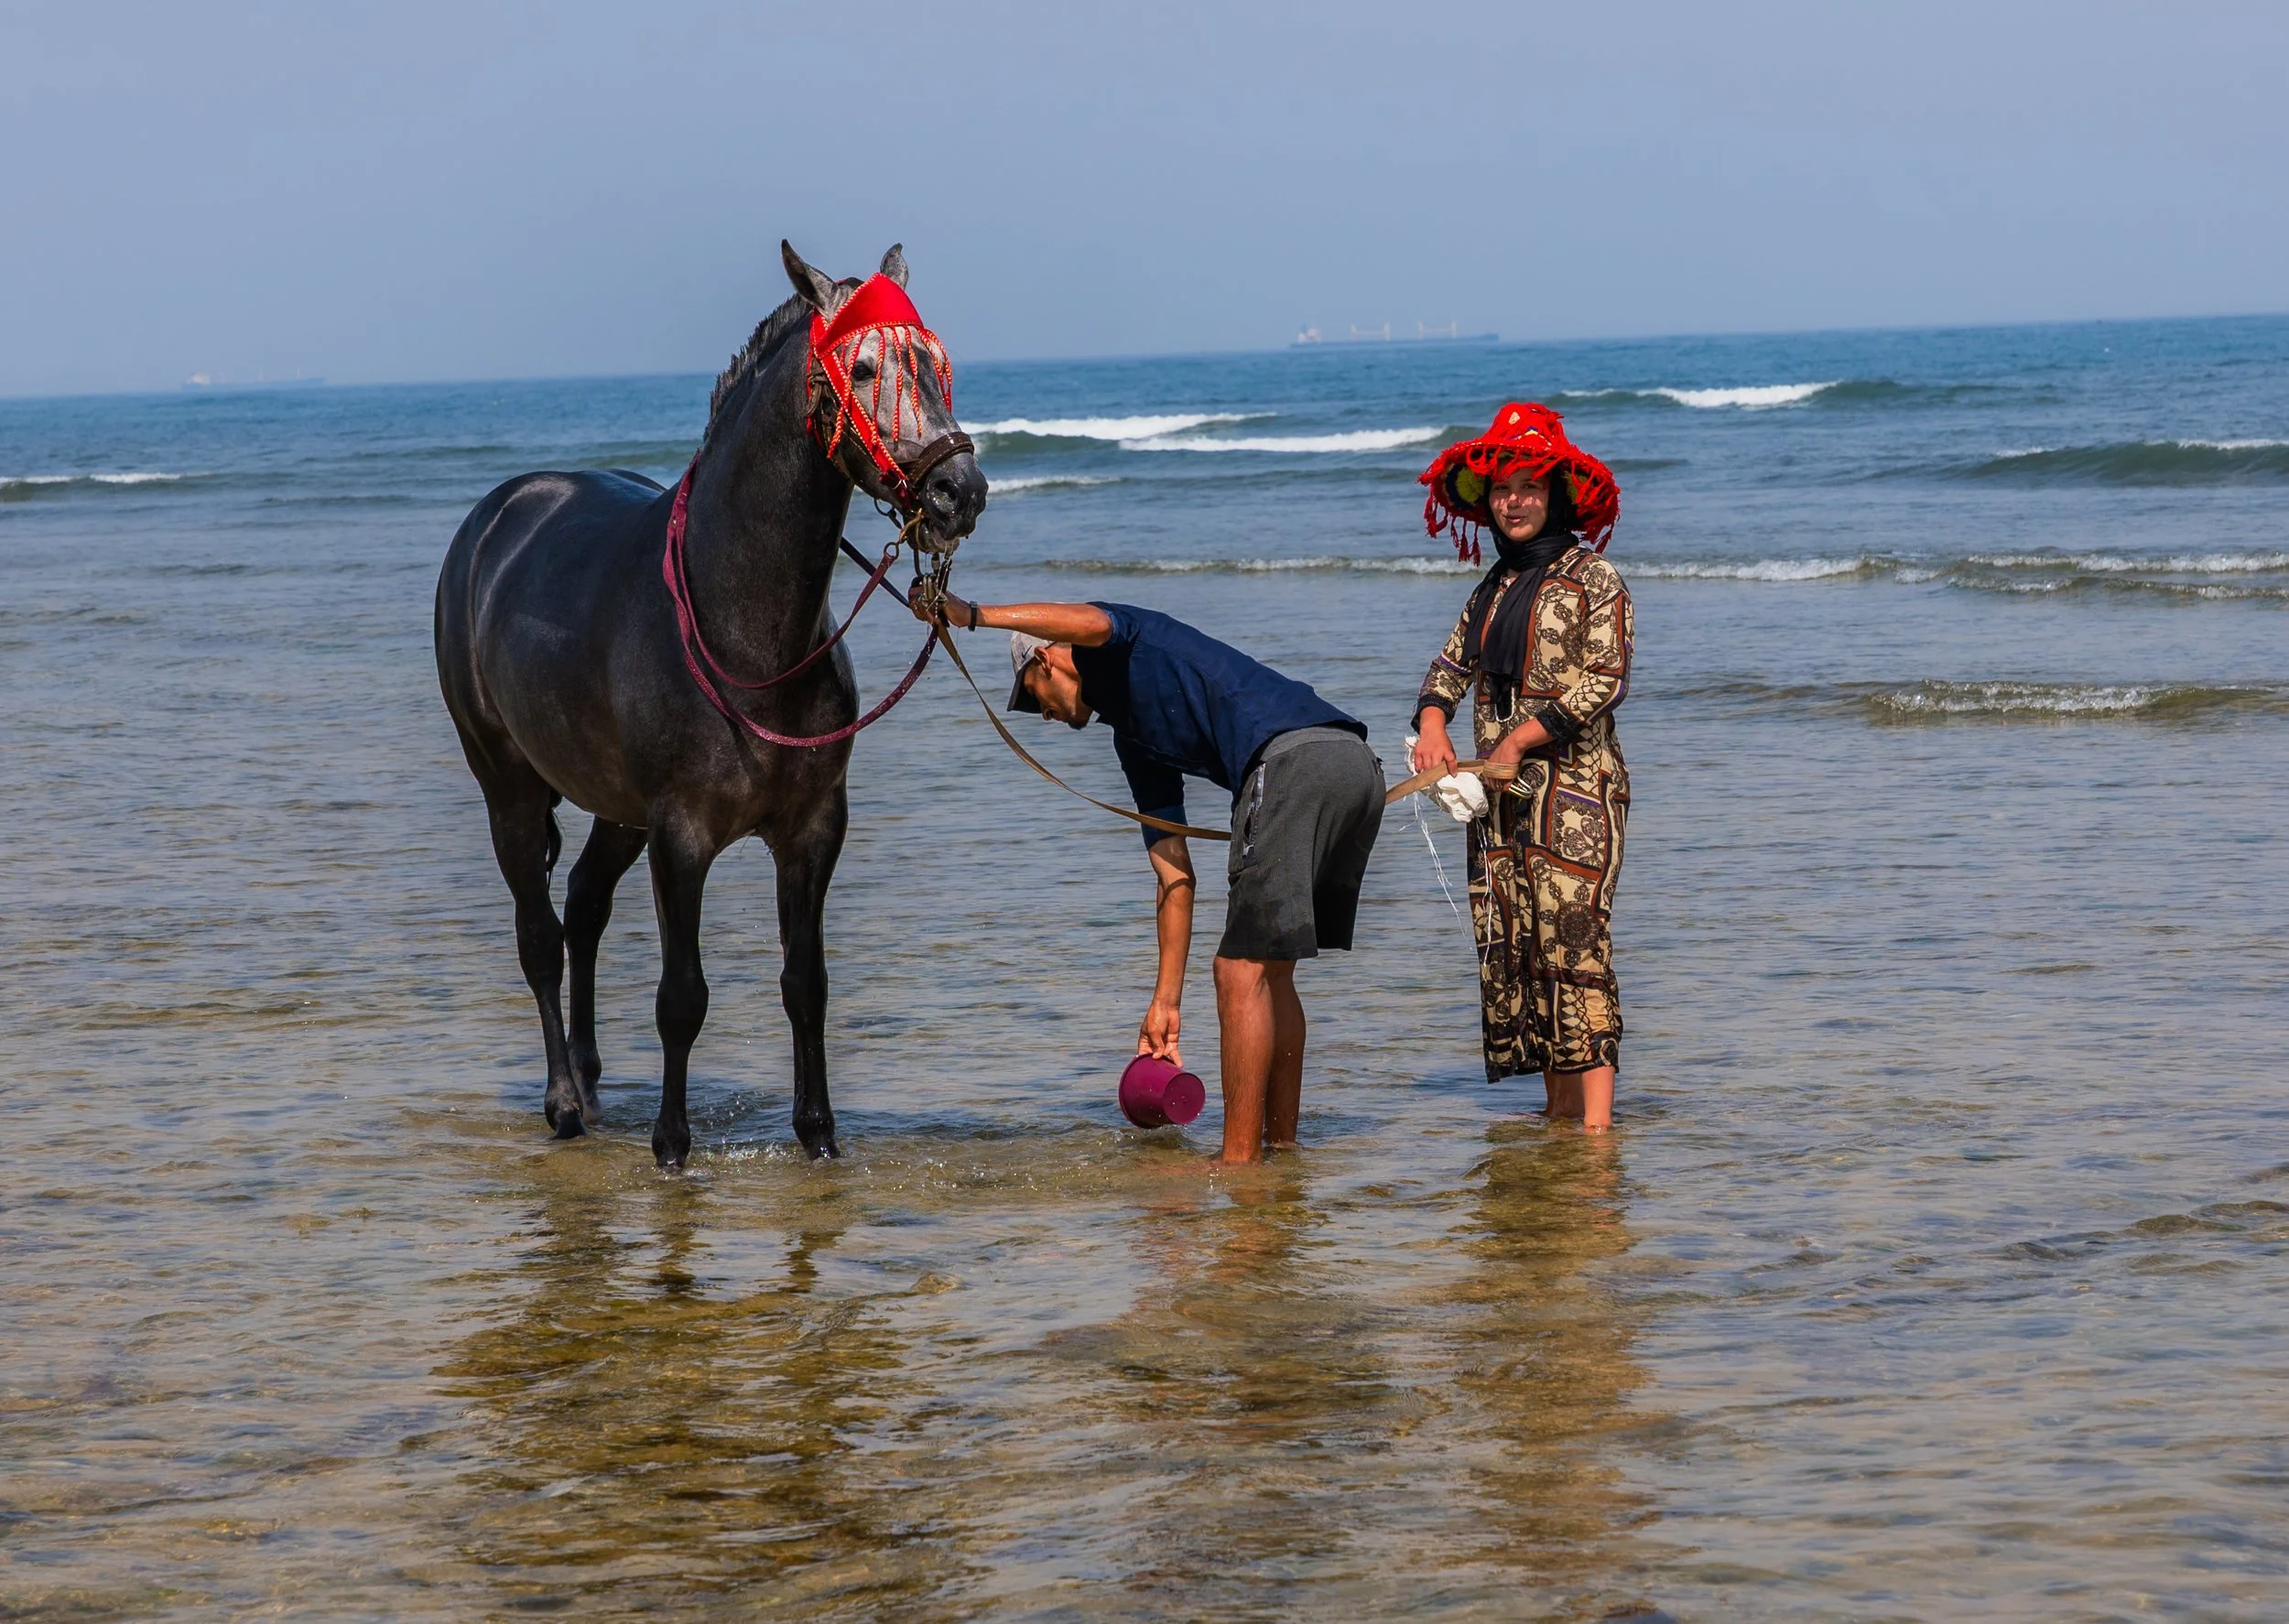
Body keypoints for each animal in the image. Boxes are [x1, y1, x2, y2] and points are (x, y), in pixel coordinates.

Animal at [434, 243, 987, 1165]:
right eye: (863, 368)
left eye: (936, 365)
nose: (959, 490)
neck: (743, 631)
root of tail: (495, 518)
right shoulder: (681, 837)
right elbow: (681, 997)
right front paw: (671, 1146)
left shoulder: (812, 830)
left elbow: (806, 983)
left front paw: (818, 1137)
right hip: (507, 784)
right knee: (541, 938)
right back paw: (564, 1102)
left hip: (616, 808)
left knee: (583, 905)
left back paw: (591, 1078)